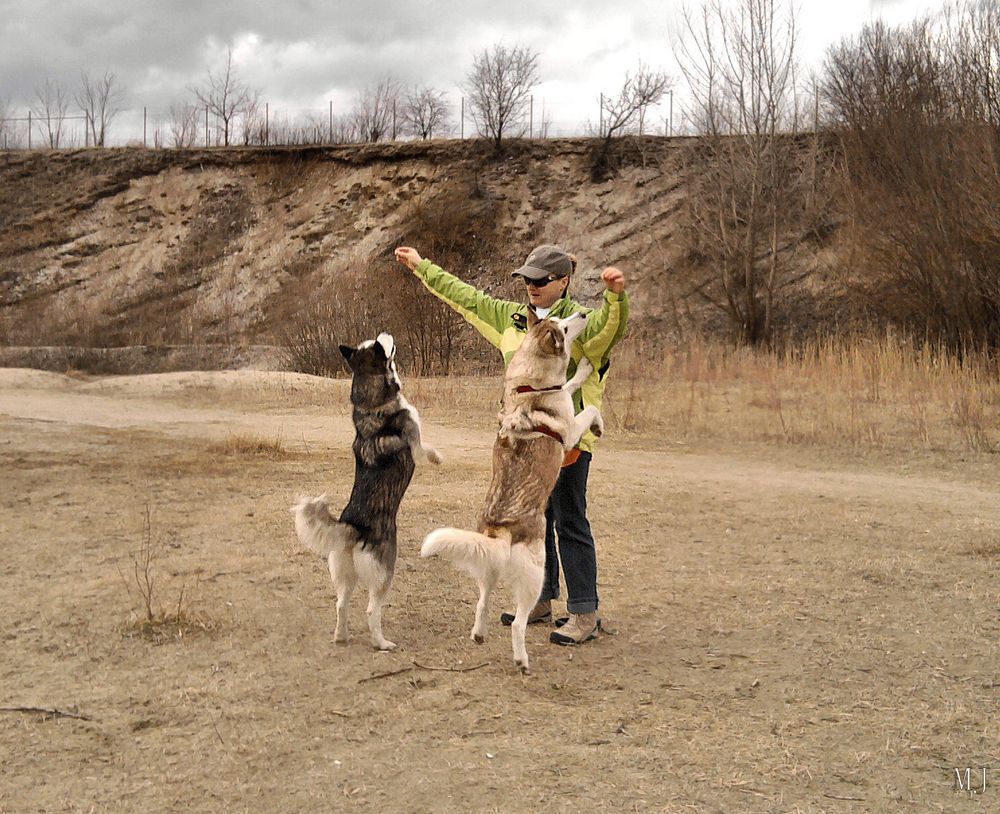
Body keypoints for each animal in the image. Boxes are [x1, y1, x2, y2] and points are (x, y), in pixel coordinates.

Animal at [292, 332, 442, 652]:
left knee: (341, 604)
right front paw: (438, 458)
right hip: (385, 571)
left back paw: (341, 636)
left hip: (343, 575)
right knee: (372, 610)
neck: (372, 405)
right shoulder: (415, 439)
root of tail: (353, 527)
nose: (385, 333)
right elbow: (426, 448)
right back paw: (382, 643)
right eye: (379, 345)